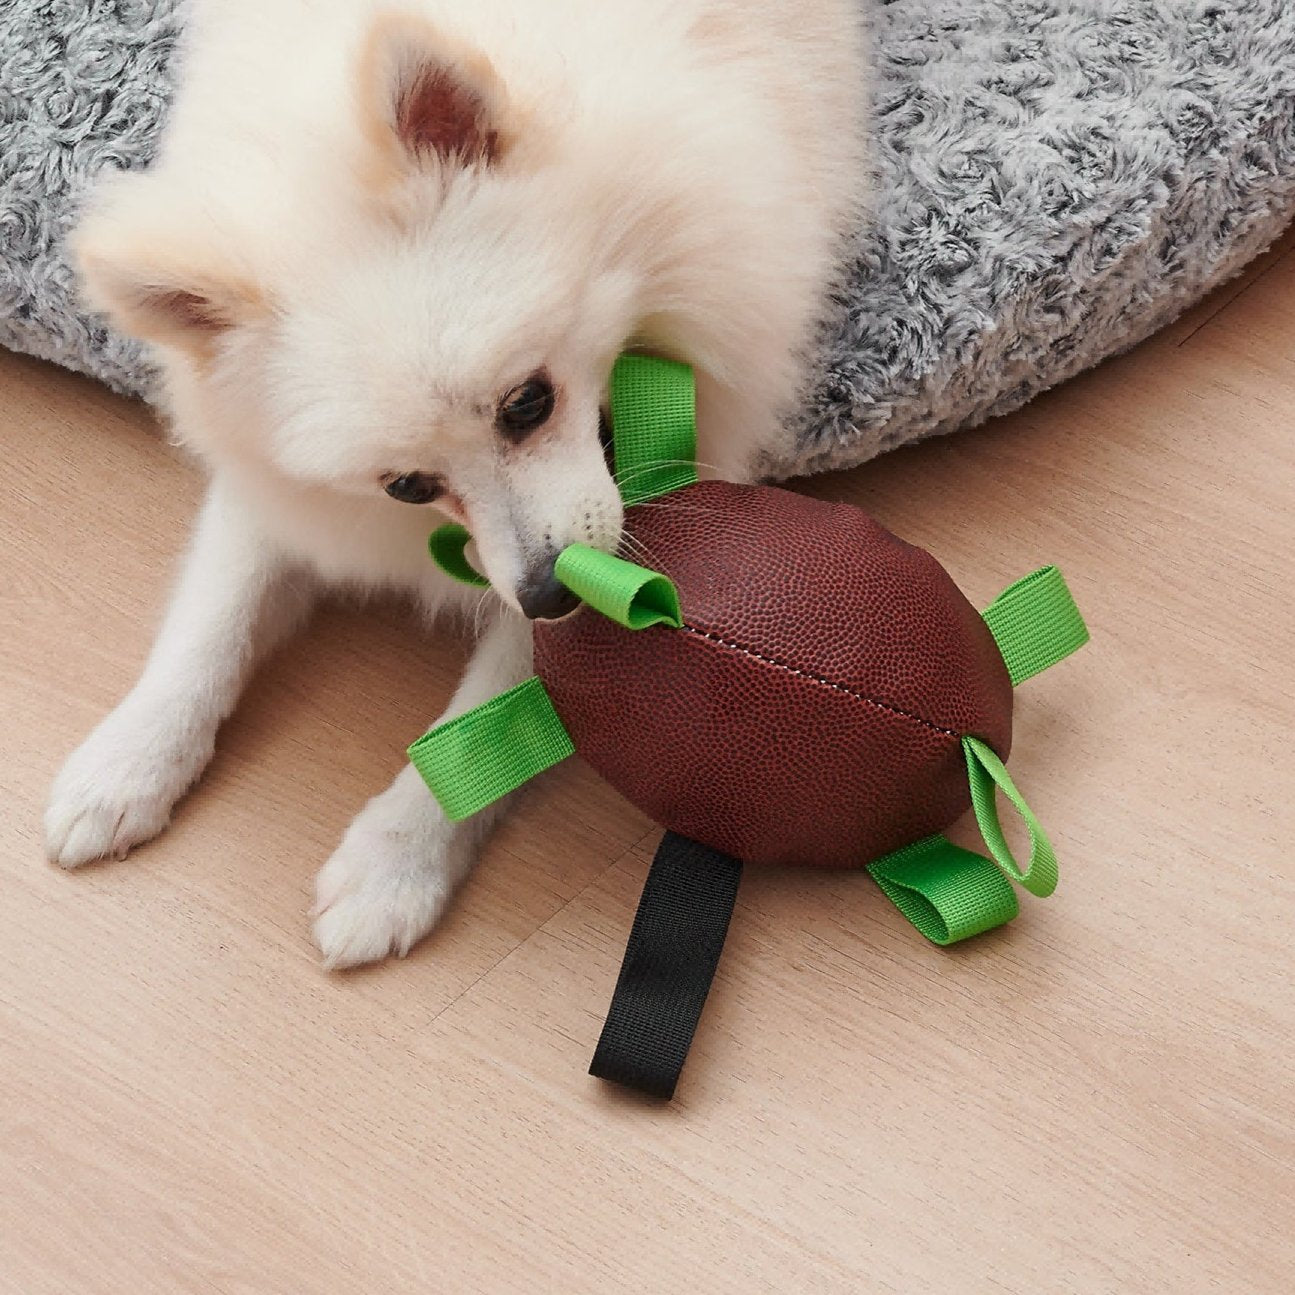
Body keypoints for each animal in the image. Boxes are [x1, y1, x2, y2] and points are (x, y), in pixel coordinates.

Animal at [45, 0, 870, 968]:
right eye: (407, 486)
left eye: (527, 402)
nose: (550, 592)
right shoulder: (275, 494)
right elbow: (210, 625)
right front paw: (127, 761)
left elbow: (490, 717)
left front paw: (394, 861)